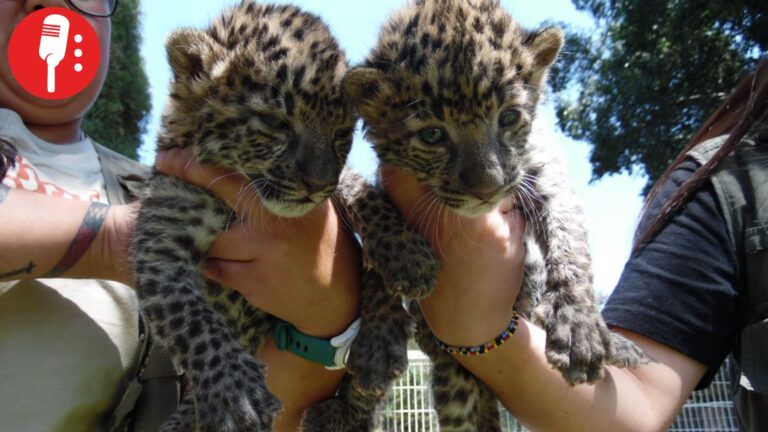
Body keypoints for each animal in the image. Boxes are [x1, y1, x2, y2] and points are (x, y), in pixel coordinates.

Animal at [132, 2, 437, 431]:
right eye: (276, 123)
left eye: (341, 134)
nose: (317, 183)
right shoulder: (162, 242)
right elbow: (190, 318)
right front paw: (234, 393)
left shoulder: (339, 192)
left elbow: (361, 197)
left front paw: (405, 261)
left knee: (363, 404)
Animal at [342, 0, 649, 430]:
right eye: (432, 135)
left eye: (508, 117)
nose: (487, 189)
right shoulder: (387, 185)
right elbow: (372, 249)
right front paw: (376, 340)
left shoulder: (544, 169)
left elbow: (570, 239)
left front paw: (579, 329)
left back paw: (617, 345)